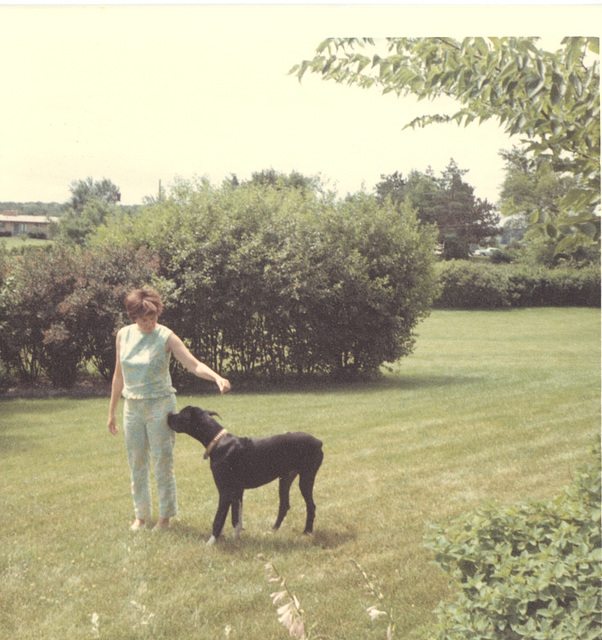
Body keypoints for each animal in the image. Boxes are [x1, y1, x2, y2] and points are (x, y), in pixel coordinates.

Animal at [164, 404, 324, 544]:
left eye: (181, 414)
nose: (169, 415)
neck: (218, 441)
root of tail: (318, 441)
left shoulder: (225, 491)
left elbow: (219, 518)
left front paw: (210, 543)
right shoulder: (237, 491)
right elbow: (236, 518)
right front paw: (236, 539)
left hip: (306, 478)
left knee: (311, 506)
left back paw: (307, 531)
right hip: (285, 479)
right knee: (284, 505)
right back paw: (273, 530)